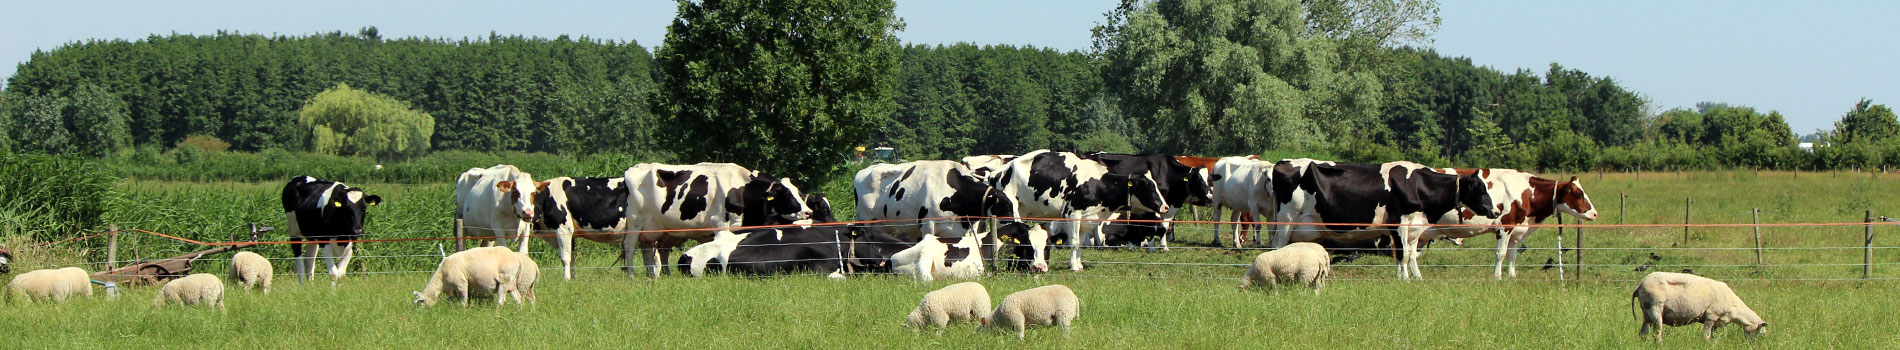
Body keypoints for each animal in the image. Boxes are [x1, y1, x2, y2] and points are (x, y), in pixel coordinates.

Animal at [619, 161, 805, 279]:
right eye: (787, 194)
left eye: (799, 192)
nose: (808, 212)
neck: (743, 190)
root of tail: (633, 169)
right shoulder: (721, 224)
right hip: (635, 220)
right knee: (630, 247)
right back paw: (631, 275)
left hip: (654, 228)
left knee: (649, 249)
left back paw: (654, 276)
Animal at [995, 149, 1170, 272]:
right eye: (1148, 187)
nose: (1165, 206)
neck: (1097, 185)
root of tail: (1002, 169)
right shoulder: (1073, 214)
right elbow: (1075, 242)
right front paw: (1073, 266)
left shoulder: (1087, 218)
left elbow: (1081, 242)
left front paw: (1078, 264)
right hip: (1011, 208)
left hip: (1023, 208)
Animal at [1261, 160, 1497, 279]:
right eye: (1479, 189)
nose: (1495, 211)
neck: (1416, 185)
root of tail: (1282, 163)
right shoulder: (1399, 223)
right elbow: (1402, 255)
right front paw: (1403, 279)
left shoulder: (1413, 227)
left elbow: (1410, 255)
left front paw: (1416, 278)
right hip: (1286, 222)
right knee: (1276, 249)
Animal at [1634, 270, 1763, 342]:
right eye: (1760, 332)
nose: (1754, 345)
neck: (1735, 309)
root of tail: (1640, 285)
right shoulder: (1711, 315)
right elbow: (1706, 336)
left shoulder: (1717, 322)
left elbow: (1714, 337)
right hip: (1654, 308)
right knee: (1657, 334)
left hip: (1646, 312)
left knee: (1643, 333)